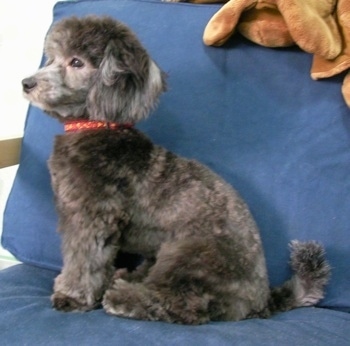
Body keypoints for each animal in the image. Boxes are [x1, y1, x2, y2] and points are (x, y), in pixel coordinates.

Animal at [22, 16, 330, 324]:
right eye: (51, 58)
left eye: (76, 62)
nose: (26, 82)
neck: (97, 125)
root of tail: (262, 300)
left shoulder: (92, 217)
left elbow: (83, 259)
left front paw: (71, 296)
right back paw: (126, 278)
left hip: (189, 254)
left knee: (182, 303)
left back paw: (124, 297)